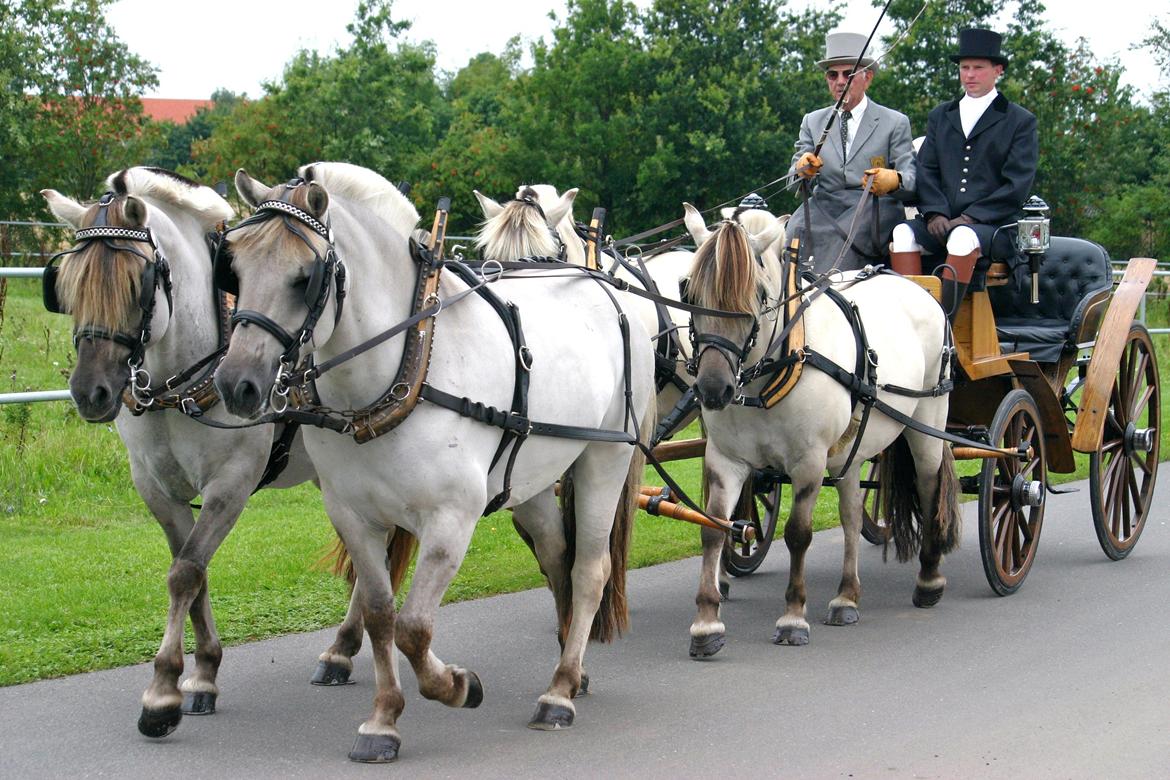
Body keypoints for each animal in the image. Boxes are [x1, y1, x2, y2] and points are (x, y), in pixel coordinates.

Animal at [41, 168, 402, 743]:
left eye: (137, 285)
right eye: (68, 285)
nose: (90, 392)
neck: (183, 381)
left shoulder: (230, 485)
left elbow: (185, 572)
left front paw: (163, 692)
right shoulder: (155, 489)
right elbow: (191, 569)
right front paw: (203, 674)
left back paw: (345, 646)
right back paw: (343, 649)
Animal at [215, 163, 655, 762]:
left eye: (304, 278)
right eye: (232, 267)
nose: (237, 383)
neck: (408, 364)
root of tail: (611, 288)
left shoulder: (451, 520)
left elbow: (415, 628)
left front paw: (457, 685)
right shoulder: (352, 515)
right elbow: (381, 616)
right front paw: (383, 719)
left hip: (605, 457)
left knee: (589, 570)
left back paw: (560, 691)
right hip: (533, 478)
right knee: (556, 556)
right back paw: (573, 663)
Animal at [678, 204, 959, 654]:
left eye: (759, 295)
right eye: (687, 292)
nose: (713, 389)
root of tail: (919, 289)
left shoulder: (808, 462)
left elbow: (798, 534)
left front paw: (793, 616)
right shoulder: (725, 461)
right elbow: (714, 530)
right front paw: (707, 623)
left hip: (928, 422)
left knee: (930, 485)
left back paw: (930, 578)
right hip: (850, 450)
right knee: (850, 514)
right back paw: (847, 596)